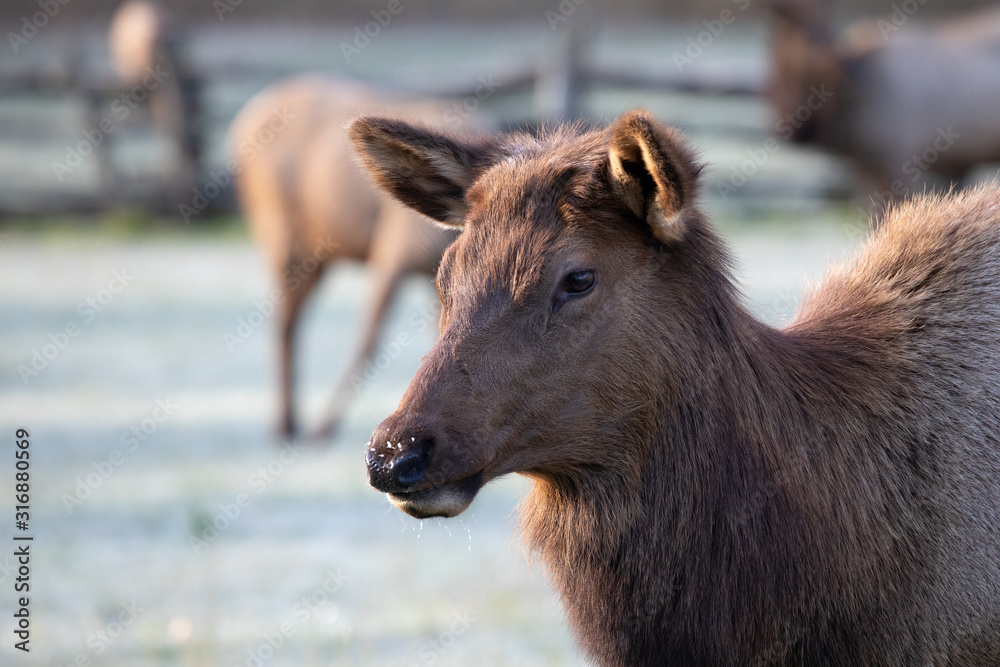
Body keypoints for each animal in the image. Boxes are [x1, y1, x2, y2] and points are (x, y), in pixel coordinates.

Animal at [228, 76, 456, 439]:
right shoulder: (395, 251)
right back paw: (288, 422)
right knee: (285, 320)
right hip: (281, 236)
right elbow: (370, 337)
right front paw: (326, 427)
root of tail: (239, 124)